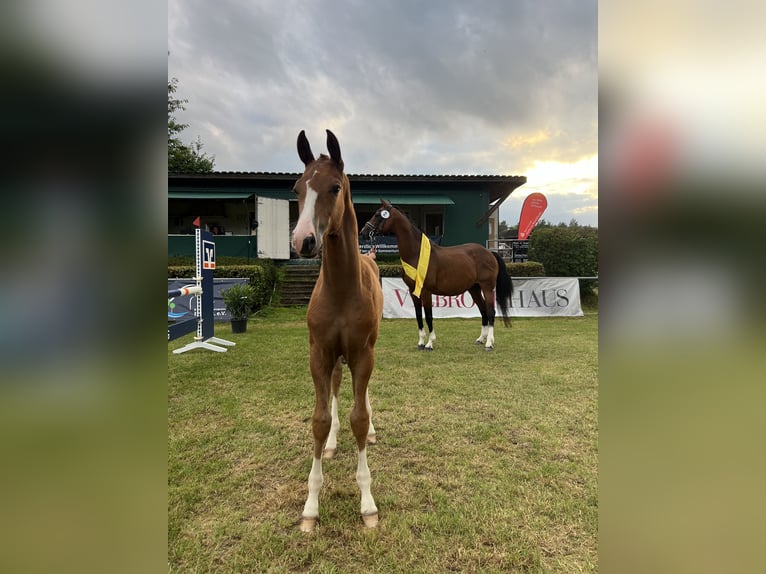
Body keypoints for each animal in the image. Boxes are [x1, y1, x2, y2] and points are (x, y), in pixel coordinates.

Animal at [364, 200, 512, 354]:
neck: (416, 254)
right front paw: (421, 343)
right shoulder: (413, 291)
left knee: (490, 312)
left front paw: (430, 344)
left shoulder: (426, 291)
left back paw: (489, 343)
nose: (364, 232)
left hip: (487, 287)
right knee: (483, 310)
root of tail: (490, 253)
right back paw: (480, 339)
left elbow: (429, 316)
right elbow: (418, 315)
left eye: (377, 215)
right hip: (474, 289)